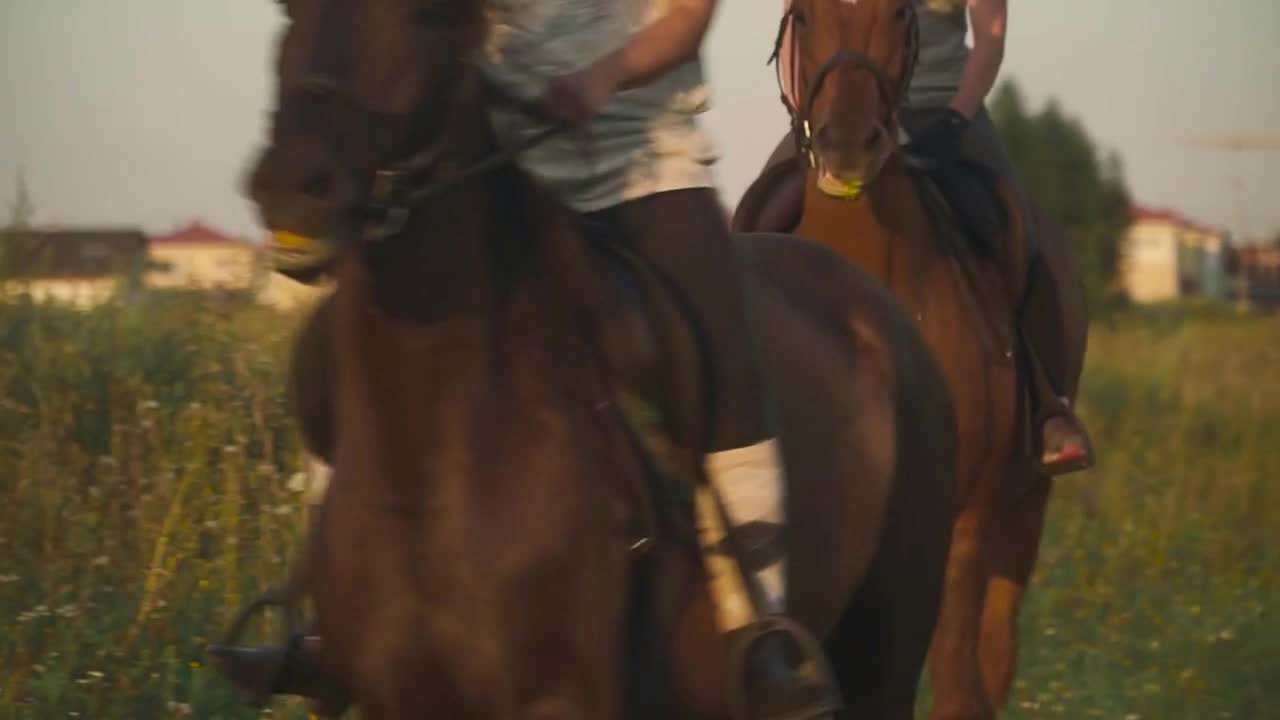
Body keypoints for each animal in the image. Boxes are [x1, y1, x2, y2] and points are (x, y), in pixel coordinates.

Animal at [204, 1, 962, 717]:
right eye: (289, 11)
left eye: (430, 16)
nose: (294, 185)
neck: (435, 470)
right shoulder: (395, 700)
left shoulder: (559, 698)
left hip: (888, 642)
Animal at [732, 1, 1090, 717]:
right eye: (802, 16)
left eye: (901, 14)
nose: (847, 145)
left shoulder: (965, 521)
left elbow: (955, 680)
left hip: (1024, 507)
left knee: (991, 660)